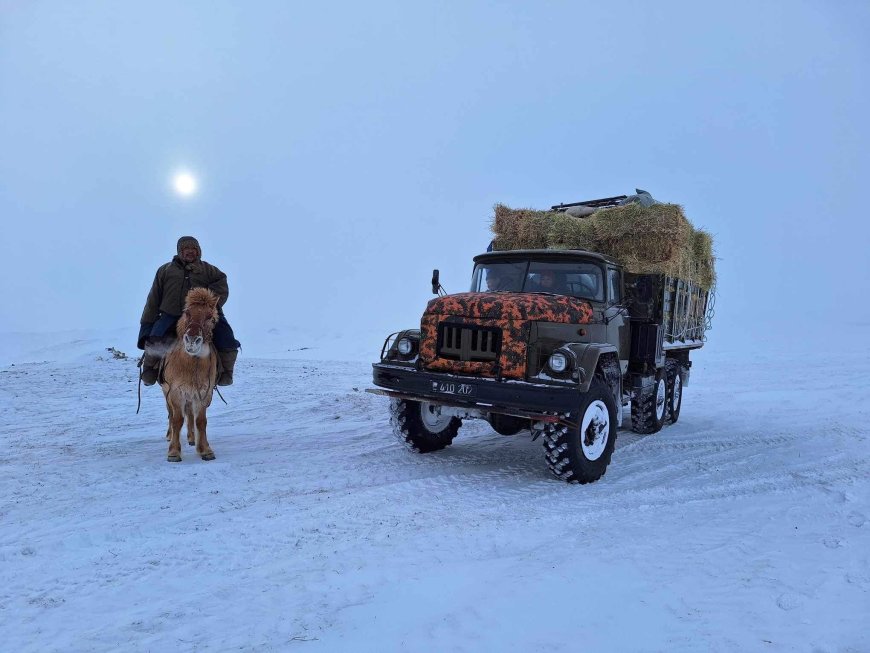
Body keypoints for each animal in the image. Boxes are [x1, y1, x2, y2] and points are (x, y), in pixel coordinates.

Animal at [162, 288, 221, 460]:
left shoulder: (204, 392)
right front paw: (174, 451)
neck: (190, 365)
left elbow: (200, 420)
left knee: (189, 414)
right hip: (166, 392)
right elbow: (177, 420)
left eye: (210, 317)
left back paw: (192, 437)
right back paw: (170, 435)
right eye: (187, 313)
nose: (192, 340)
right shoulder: (175, 392)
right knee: (171, 413)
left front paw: (205, 449)